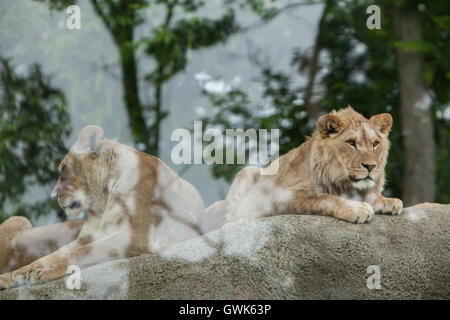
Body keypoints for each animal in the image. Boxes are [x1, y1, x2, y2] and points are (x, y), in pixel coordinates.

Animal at [0, 125, 204, 290]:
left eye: (63, 169)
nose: (53, 195)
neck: (103, 199)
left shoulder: (138, 236)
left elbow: (80, 252)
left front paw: (42, 272)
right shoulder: (87, 236)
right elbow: (53, 254)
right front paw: (13, 275)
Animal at [204, 107, 404, 230]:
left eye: (375, 143)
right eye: (351, 143)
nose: (371, 166)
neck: (343, 182)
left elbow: (372, 194)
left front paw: (388, 202)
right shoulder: (280, 196)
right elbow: (325, 198)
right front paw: (357, 209)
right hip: (249, 171)